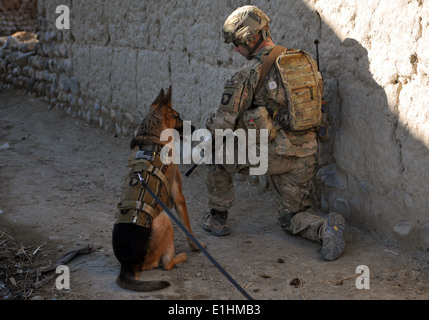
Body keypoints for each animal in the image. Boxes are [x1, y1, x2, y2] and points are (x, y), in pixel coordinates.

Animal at [113, 86, 201, 292]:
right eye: (177, 116)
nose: (193, 128)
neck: (152, 135)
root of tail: (128, 265)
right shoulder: (178, 195)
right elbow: (187, 225)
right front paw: (195, 246)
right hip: (164, 219)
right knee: (166, 264)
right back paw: (180, 257)